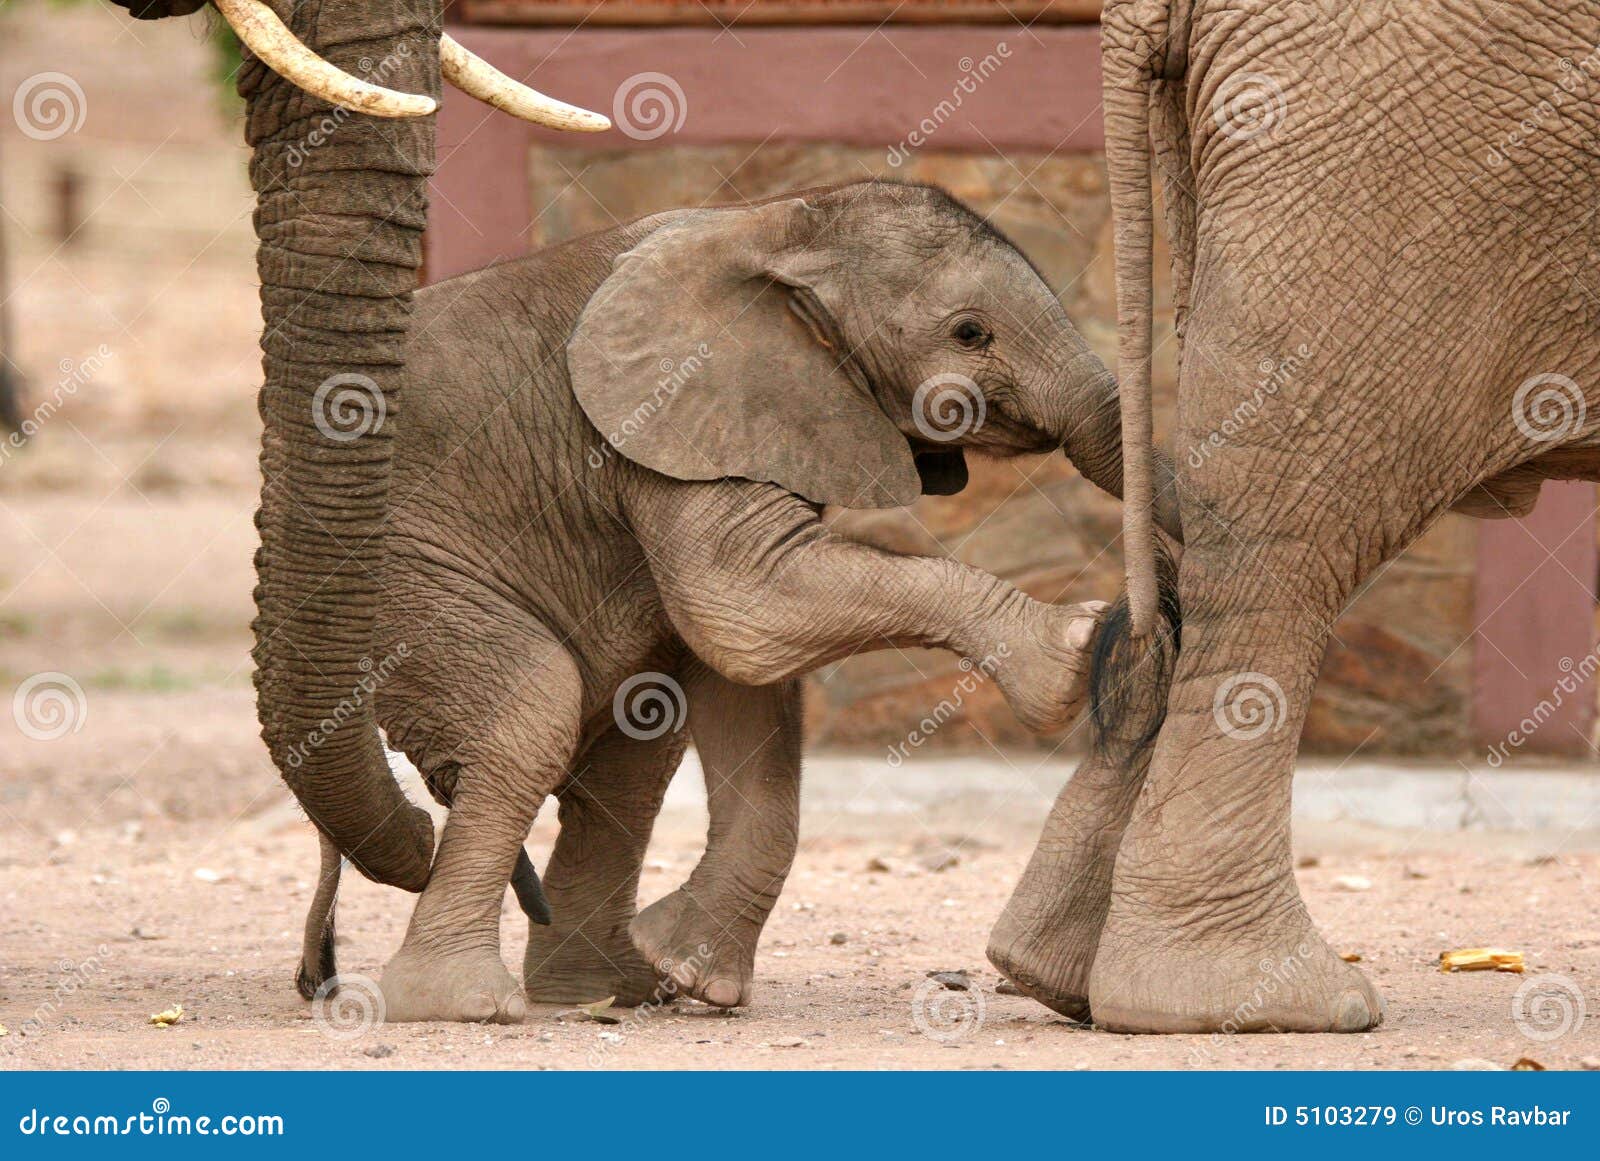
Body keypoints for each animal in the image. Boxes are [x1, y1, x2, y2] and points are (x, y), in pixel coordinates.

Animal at [282, 178, 1189, 1023]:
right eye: (970, 333)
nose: (1156, 617)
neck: (780, 222)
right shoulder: (673, 411)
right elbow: (742, 600)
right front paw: (1073, 652)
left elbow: (749, 664)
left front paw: (697, 977)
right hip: (398, 584)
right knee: (530, 707)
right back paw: (468, 1002)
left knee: (633, 756)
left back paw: (610, 991)